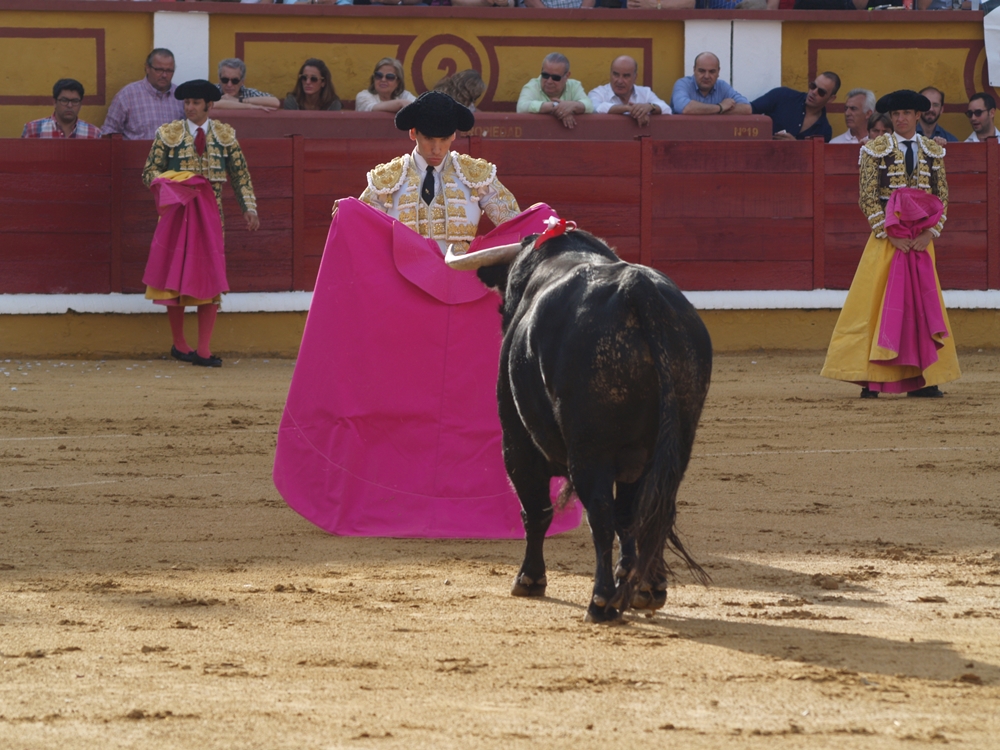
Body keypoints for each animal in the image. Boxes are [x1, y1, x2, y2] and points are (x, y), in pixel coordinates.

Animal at [460, 229, 712, 624]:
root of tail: (636, 288)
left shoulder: (516, 443)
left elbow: (535, 510)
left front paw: (529, 579)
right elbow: (629, 515)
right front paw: (630, 575)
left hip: (590, 450)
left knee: (601, 514)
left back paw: (601, 602)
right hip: (676, 443)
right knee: (655, 509)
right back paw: (649, 589)